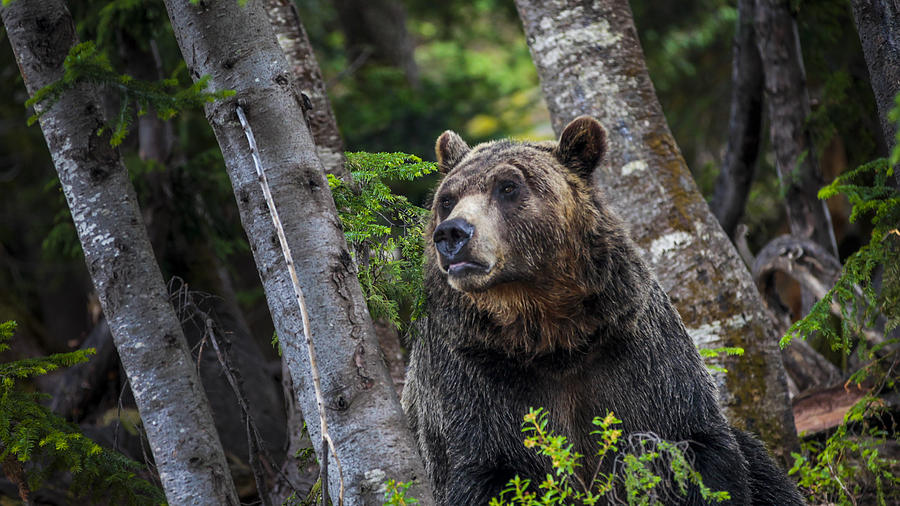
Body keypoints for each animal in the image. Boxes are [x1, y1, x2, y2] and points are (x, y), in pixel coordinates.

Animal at [400, 116, 800, 504]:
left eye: (508, 186)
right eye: (447, 199)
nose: (452, 233)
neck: (549, 335)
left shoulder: (632, 348)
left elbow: (695, 447)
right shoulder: (471, 373)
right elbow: (484, 469)